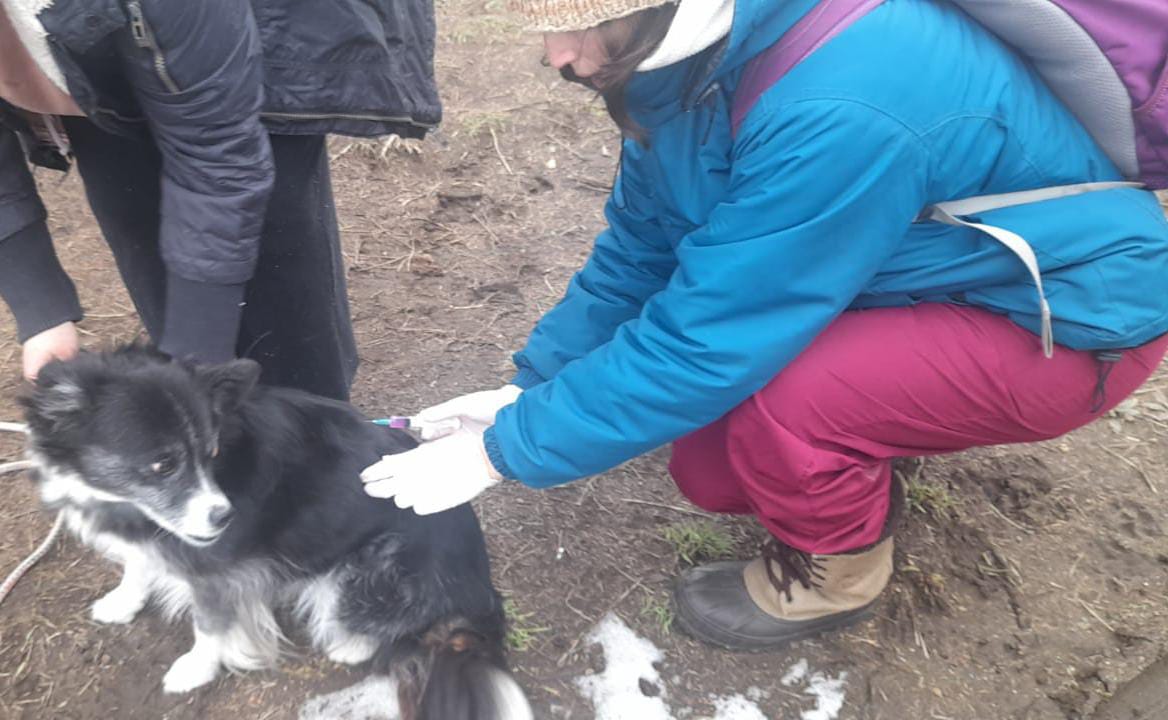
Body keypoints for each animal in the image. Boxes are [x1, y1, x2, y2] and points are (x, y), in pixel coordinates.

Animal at [21, 345, 530, 715]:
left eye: (211, 452)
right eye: (162, 464)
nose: (223, 518)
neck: (123, 502)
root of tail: (481, 593)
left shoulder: (215, 571)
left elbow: (209, 624)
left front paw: (195, 670)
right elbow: (137, 565)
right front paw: (122, 601)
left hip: (374, 569)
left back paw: (349, 645)